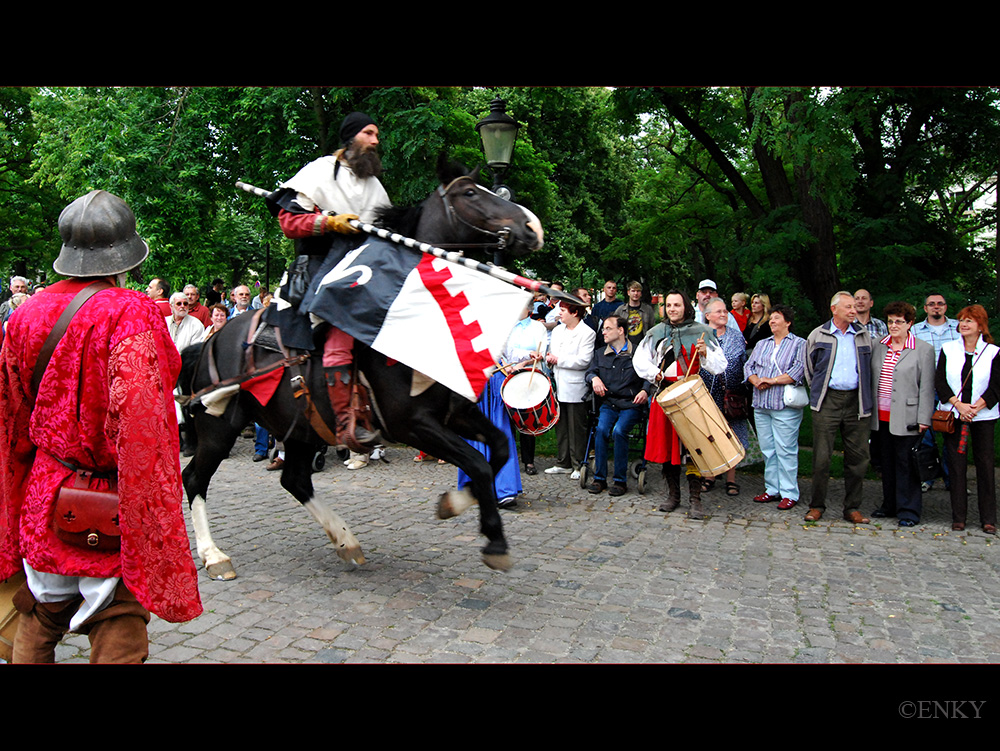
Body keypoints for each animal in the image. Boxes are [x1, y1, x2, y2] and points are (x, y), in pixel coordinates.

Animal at [184, 160, 552, 580]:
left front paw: (459, 503)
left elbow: (500, 450)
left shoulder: (455, 414)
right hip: (219, 426)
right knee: (194, 478)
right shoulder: (411, 423)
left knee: (295, 479)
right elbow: (480, 464)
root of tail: (212, 340)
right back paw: (214, 554)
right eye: (470, 193)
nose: (532, 227)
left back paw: (346, 541)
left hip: (302, 427)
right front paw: (492, 539)